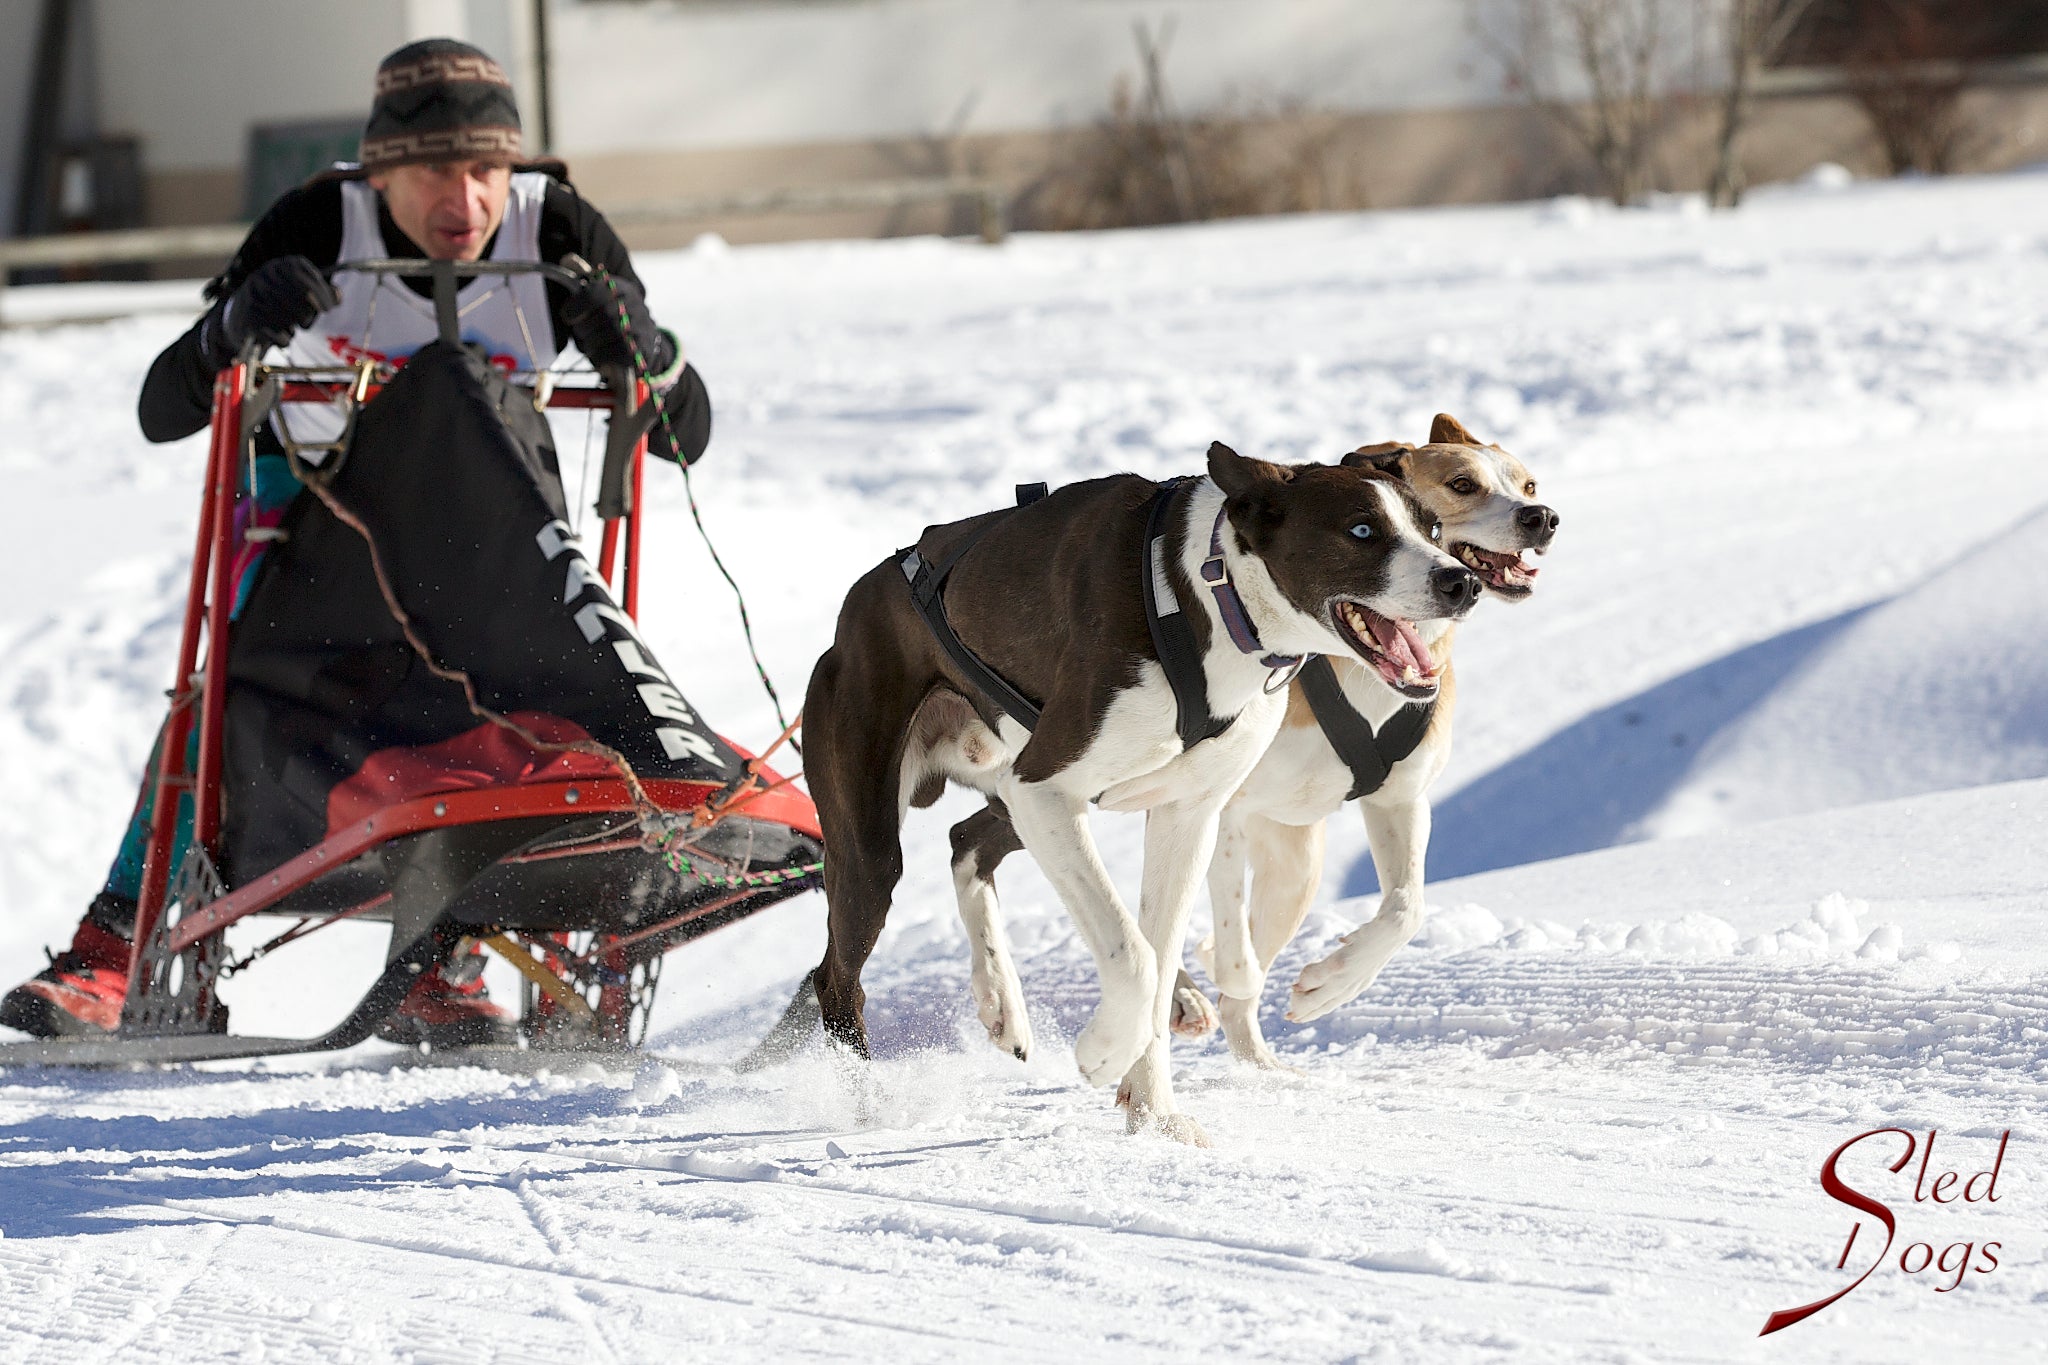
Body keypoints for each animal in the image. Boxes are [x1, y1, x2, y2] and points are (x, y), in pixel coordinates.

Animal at [790, 439, 1482, 1146]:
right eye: (1362, 531)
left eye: (1433, 530)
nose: (1462, 582)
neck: (1210, 593)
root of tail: (859, 603)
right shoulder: (1045, 788)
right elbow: (1136, 958)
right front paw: (1103, 1052)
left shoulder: (1185, 813)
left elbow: (1157, 951)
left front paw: (1153, 1112)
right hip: (880, 843)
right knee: (836, 977)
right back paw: (867, 1105)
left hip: (1011, 794)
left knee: (966, 843)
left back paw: (1002, 1005)